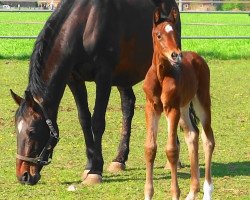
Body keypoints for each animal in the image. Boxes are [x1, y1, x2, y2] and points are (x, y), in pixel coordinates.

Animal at [144, 7, 216, 200]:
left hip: (201, 101)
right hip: (184, 108)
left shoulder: (171, 109)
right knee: (192, 135)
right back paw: (192, 192)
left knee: (208, 139)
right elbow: (150, 148)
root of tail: (197, 57)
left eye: (175, 32)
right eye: (159, 35)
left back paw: (207, 191)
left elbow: (172, 150)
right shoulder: (151, 108)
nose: (176, 55)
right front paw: (148, 193)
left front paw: (175, 193)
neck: (161, 75)